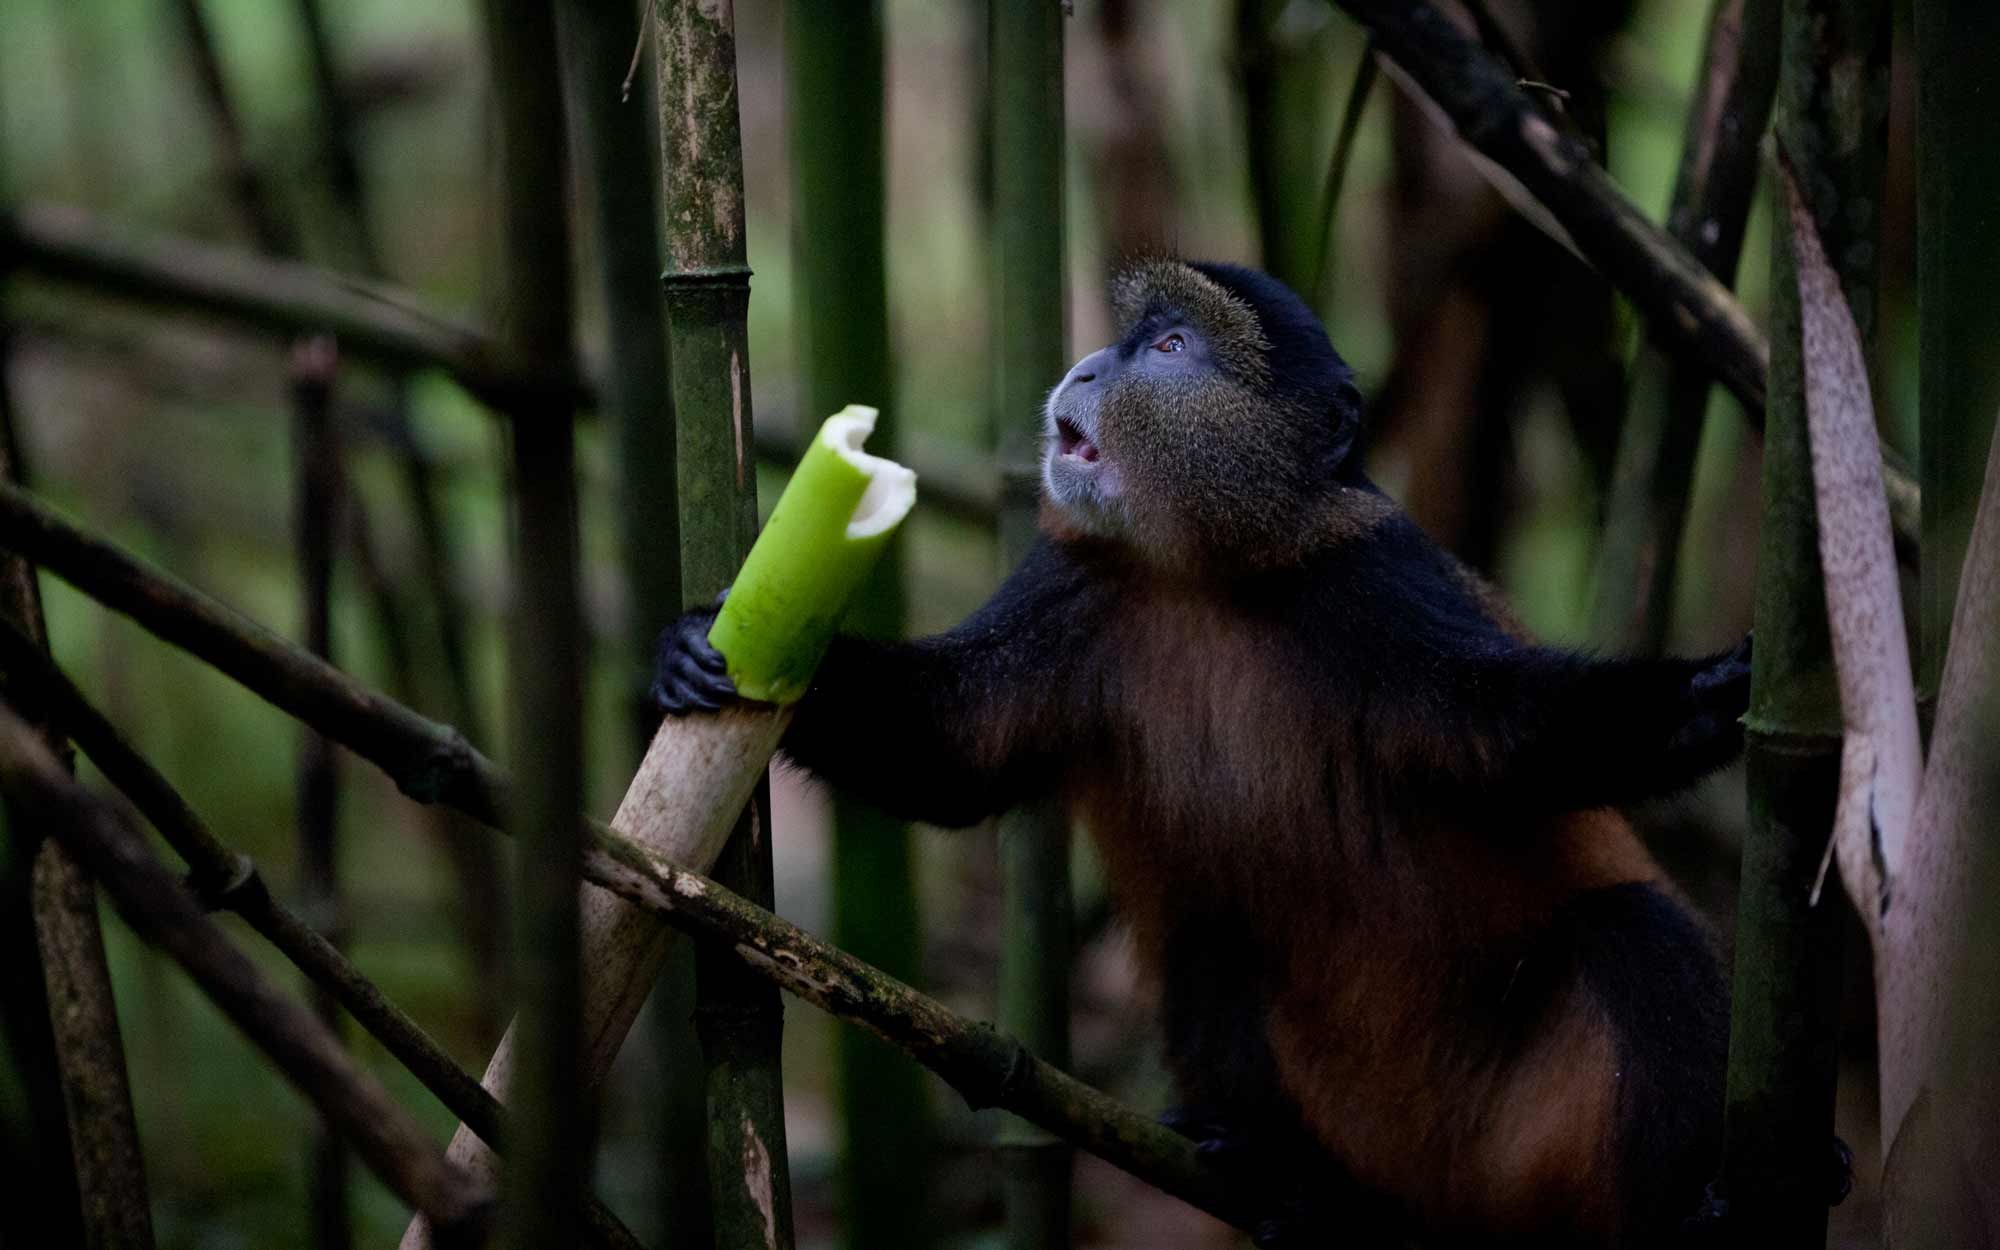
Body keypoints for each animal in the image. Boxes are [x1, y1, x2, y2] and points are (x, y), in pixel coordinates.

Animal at [654, 260, 1786, 1246]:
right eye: (1132, 338)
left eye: (1169, 346)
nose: (1086, 370)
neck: (1206, 574)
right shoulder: (1070, 589)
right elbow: (952, 750)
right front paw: (704, 649)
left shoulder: (1376, 583)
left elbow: (1508, 737)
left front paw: (1710, 693)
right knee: (1217, 935)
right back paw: (1288, 1180)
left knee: (1632, 930)